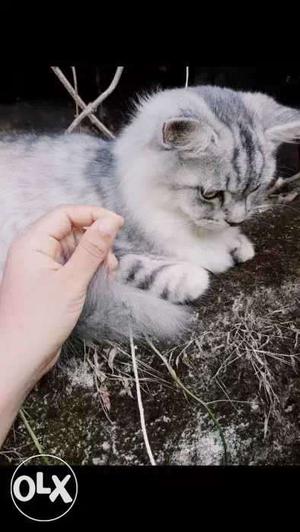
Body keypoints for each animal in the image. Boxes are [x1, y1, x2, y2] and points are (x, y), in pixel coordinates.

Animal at [0, 83, 300, 340]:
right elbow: (143, 266)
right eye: (210, 194)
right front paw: (195, 274)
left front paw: (237, 244)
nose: (235, 219)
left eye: (255, 188)